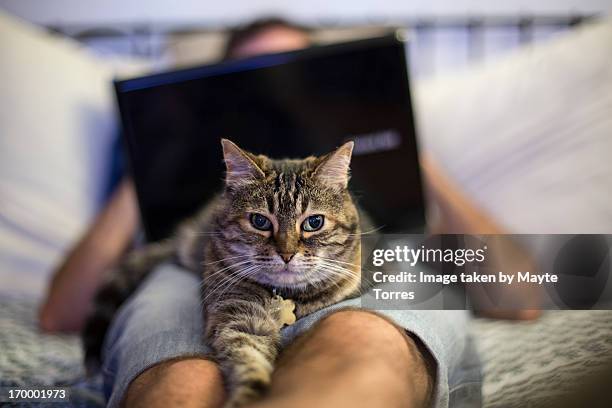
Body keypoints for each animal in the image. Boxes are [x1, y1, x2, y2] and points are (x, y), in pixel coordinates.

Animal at [82, 139, 368, 406]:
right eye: (260, 221)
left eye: (314, 222)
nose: (286, 255)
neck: (283, 296)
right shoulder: (240, 318)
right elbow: (249, 363)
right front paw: (245, 398)